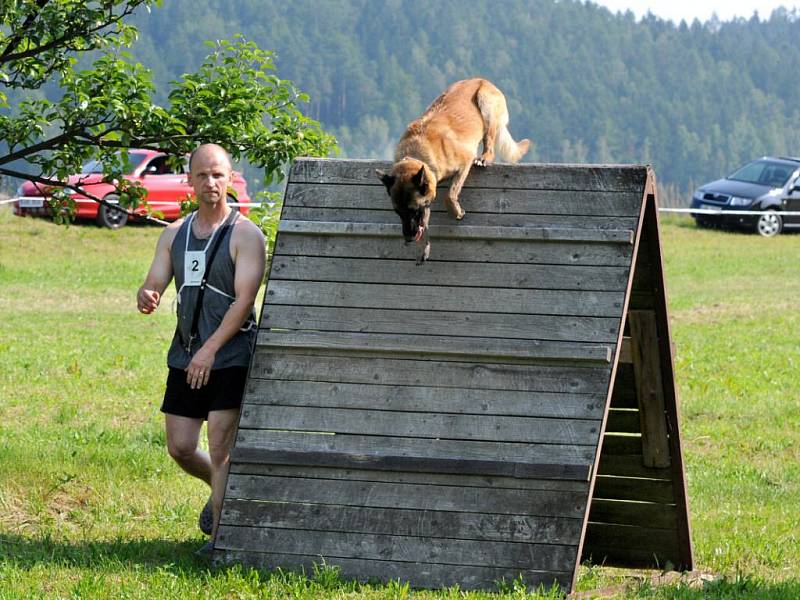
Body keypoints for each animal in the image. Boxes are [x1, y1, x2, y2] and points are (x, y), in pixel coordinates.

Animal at [376, 78, 528, 264]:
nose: (408, 239)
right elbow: (426, 220)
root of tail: (482, 80)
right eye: (397, 212)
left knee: (489, 144)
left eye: (412, 210)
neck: (416, 154)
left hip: (486, 104)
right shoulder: (427, 196)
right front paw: (425, 248)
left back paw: (484, 158)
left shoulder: (465, 161)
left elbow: (450, 194)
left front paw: (456, 211)